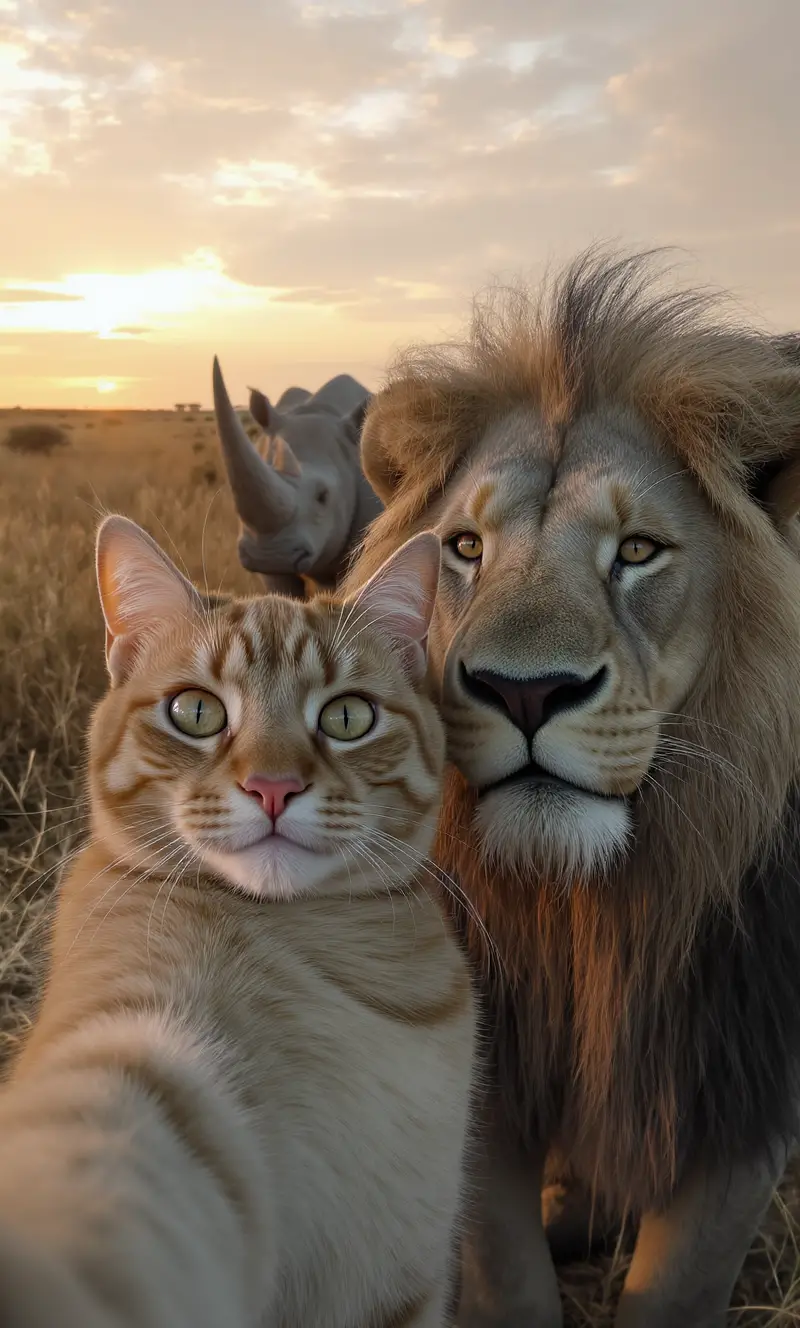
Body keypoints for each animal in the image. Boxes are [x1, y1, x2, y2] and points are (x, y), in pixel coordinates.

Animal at [342, 250, 800, 1327]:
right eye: (465, 548)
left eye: (636, 551)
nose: (525, 690)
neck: (588, 912)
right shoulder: (482, 1075)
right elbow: (508, 1280)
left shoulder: (743, 1088)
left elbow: (675, 1291)